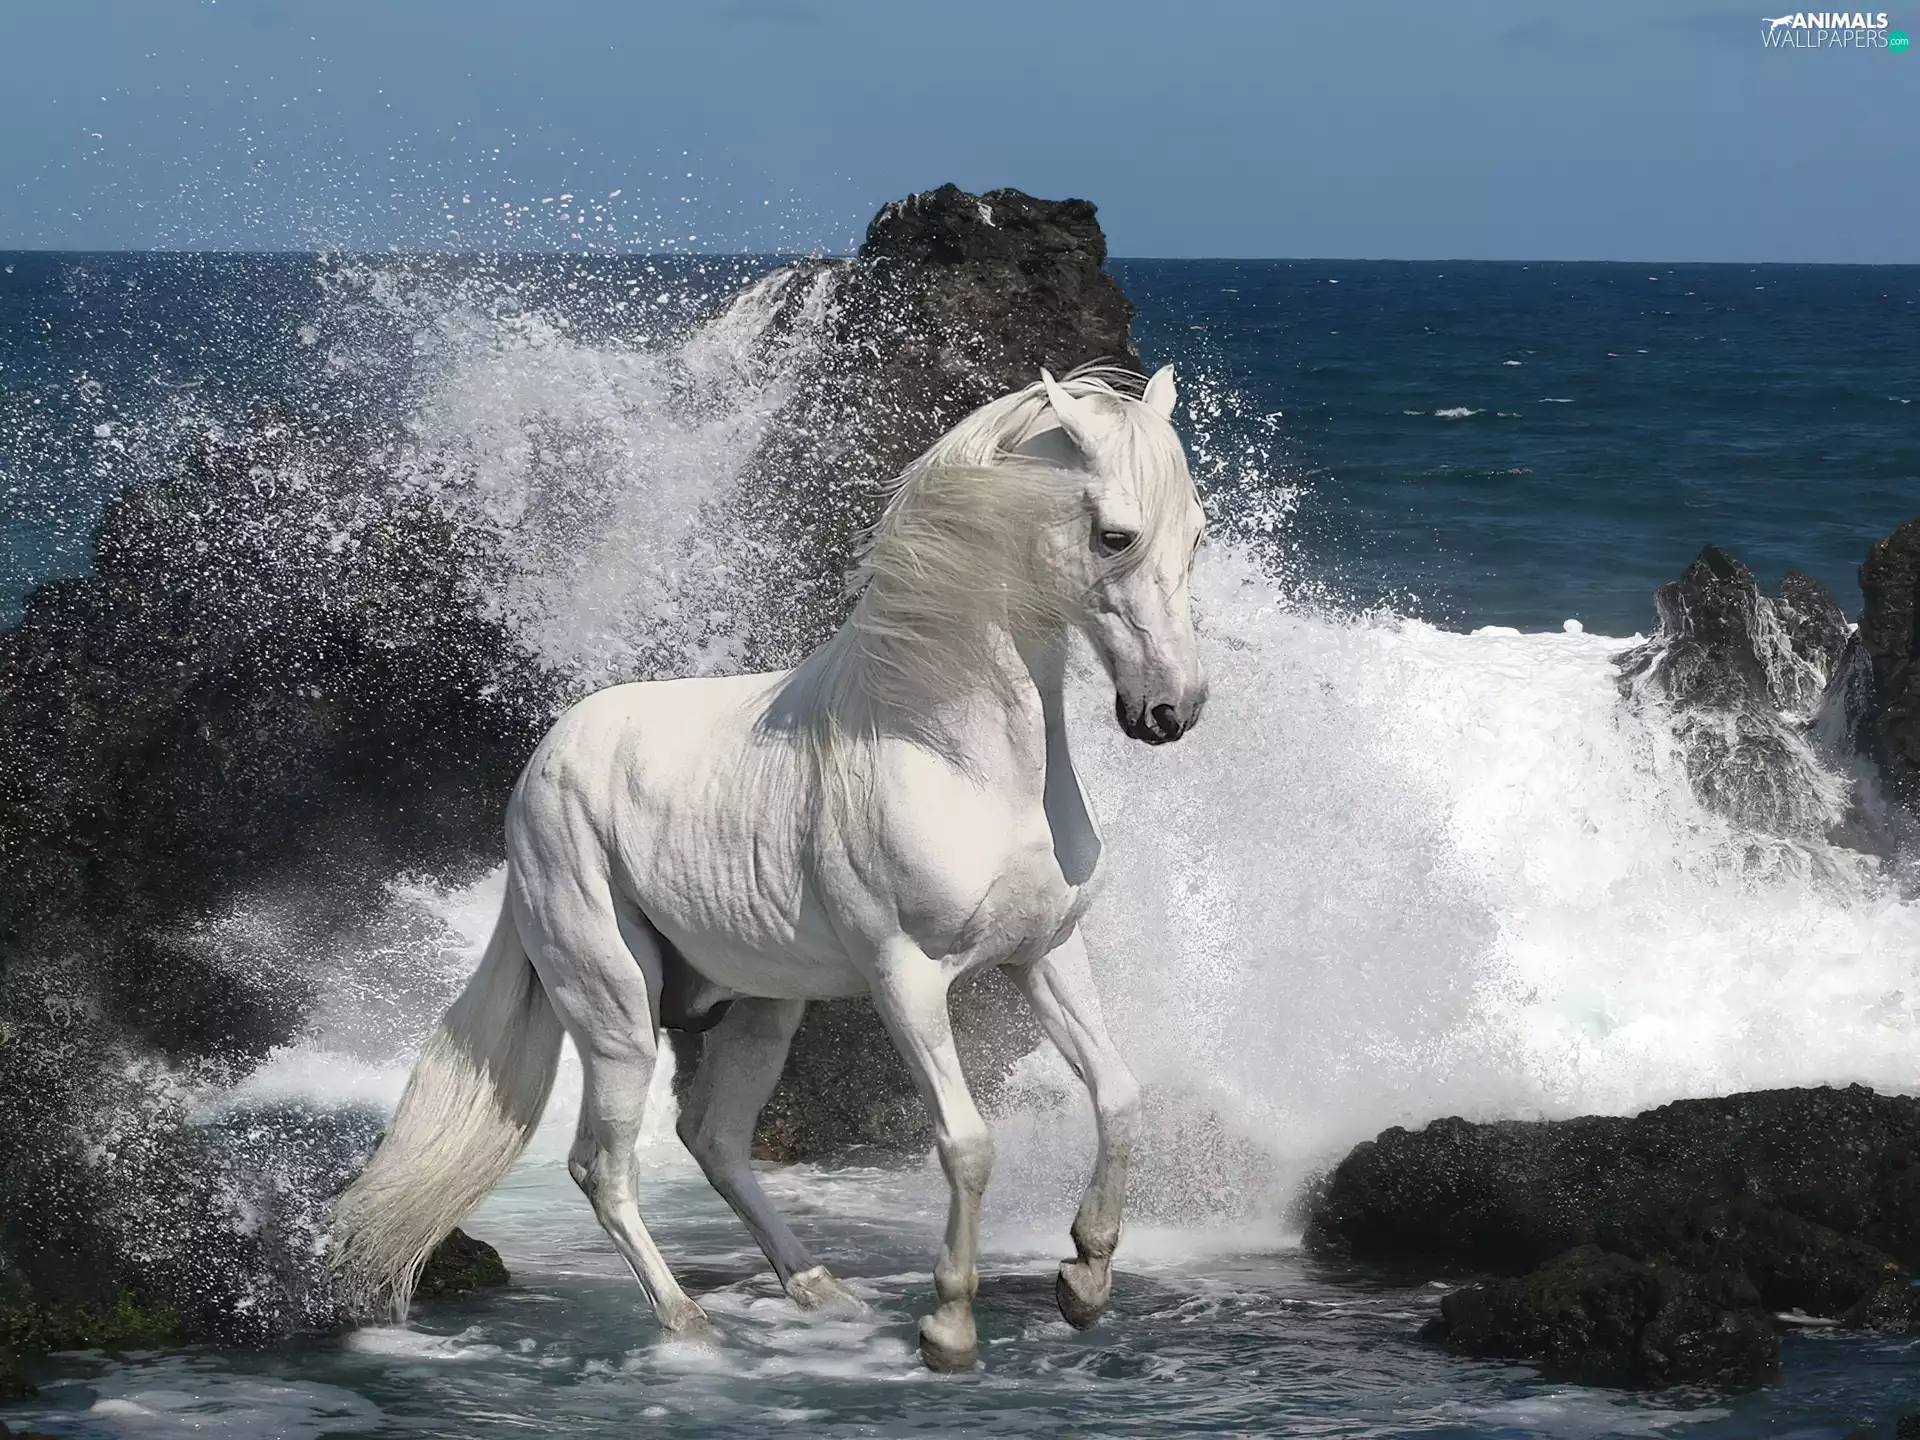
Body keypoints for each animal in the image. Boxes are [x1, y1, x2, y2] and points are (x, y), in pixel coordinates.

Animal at [328, 363, 1208, 1372]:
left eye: (1197, 535)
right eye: (1116, 535)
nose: (1171, 711)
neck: (956, 753)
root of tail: (541, 765)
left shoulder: (1047, 954)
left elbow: (1120, 1096)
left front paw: (1085, 1280)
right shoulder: (906, 978)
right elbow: (967, 1143)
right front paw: (948, 1328)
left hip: (761, 1006)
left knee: (710, 1137)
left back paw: (818, 1288)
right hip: (616, 1010)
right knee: (605, 1164)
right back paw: (689, 1325)